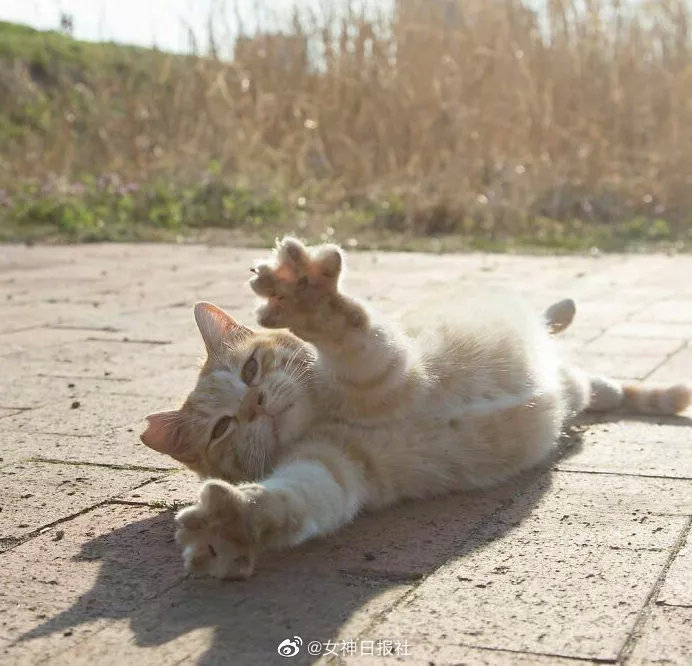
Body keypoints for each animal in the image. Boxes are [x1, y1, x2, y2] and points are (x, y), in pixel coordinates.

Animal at [140, 237, 691, 579]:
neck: (325, 413)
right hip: (571, 387)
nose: (254, 404)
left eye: (251, 369)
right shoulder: (331, 470)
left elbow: (347, 330)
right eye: (221, 429)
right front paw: (233, 525)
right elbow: (291, 500)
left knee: (555, 325)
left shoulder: (392, 365)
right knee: (589, 384)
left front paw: (307, 298)